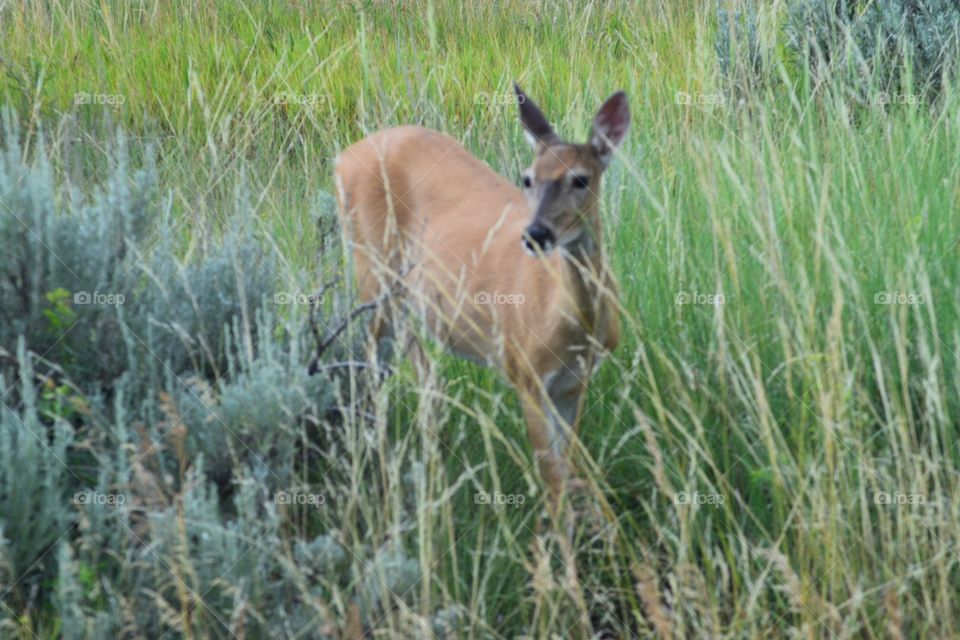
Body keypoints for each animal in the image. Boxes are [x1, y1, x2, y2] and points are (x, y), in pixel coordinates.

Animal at [334, 85, 629, 503]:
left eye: (581, 179)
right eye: (527, 178)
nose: (536, 234)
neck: (575, 324)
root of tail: (343, 158)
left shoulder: (575, 382)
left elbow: (570, 466)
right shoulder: (525, 371)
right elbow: (553, 480)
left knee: (423, 372)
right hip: (373, 269)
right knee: (373, 363)